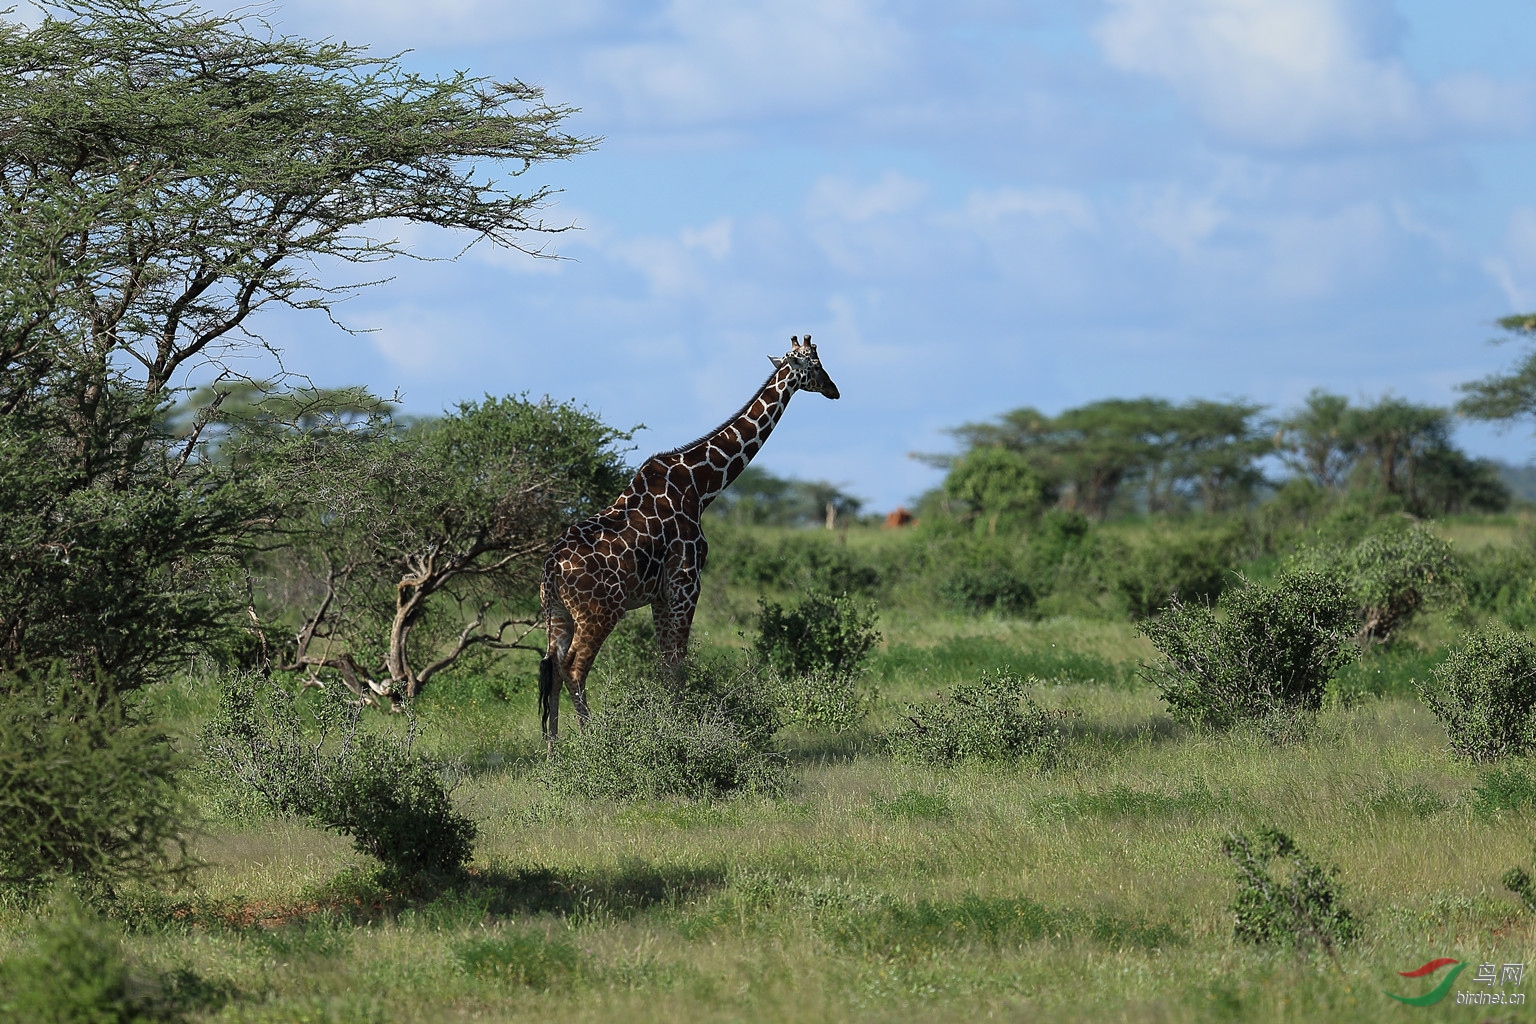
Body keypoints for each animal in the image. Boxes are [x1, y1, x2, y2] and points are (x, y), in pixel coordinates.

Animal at [540, 333, 841, 739]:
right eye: (815, 365)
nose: (834, 390)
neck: (701, 486)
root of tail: (551, 569)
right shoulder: (686, 582)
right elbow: (678, 664)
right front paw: (680, 728)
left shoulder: (660, 594)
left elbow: (666, 664)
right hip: (599, 612)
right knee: (574, 669)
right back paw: (593, 739)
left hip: (556, 612)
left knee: (552, 669)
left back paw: (553, 746)